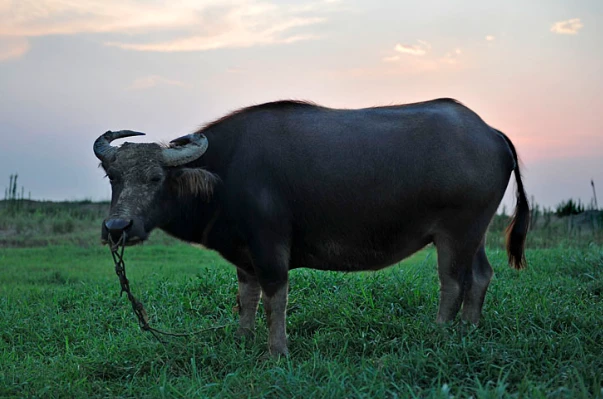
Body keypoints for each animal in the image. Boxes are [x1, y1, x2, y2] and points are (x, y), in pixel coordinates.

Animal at [93, 99, 528, 356]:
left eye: (155, 178)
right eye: (113, 177)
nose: (117, 226)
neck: (225, 175)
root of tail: (491, 133)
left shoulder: (270, 247)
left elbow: (275, 300)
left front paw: (276, 352)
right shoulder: (244, 255)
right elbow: (246, 298)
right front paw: (243, 340)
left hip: (456, 231)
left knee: (453, 282)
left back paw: (439, 333)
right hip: (475, 231)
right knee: (480, 275)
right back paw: (469, 330)